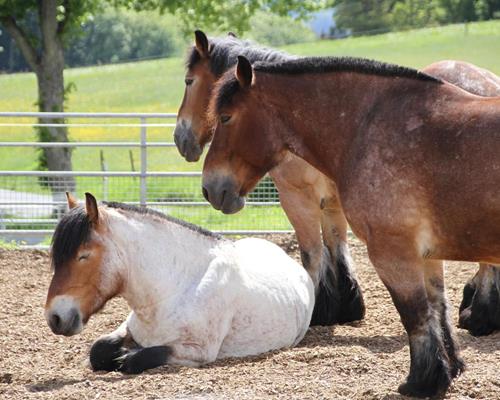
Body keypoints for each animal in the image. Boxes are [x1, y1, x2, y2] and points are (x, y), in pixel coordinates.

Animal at [44, 192, 312, 374]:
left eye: (84, 255)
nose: (55, 317)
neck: (174, 290)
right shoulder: (128, 328)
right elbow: (98, 351)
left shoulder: (197, 351)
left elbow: (137, 359)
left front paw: (127, 355)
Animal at [174, 29, 366, 326]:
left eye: (189, 81)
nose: (180, 138)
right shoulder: (330, 203)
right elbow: (336, 247)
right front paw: (345, 305)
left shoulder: (296, 199)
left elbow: (312, 253)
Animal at [200, 55, 500, 396]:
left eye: (225, 117)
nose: (209, 188)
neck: (367, 127)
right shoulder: (427, 256)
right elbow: (438, 309)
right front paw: (447, 369)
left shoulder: (394, 254)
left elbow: (415, 316)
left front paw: (421, 382)